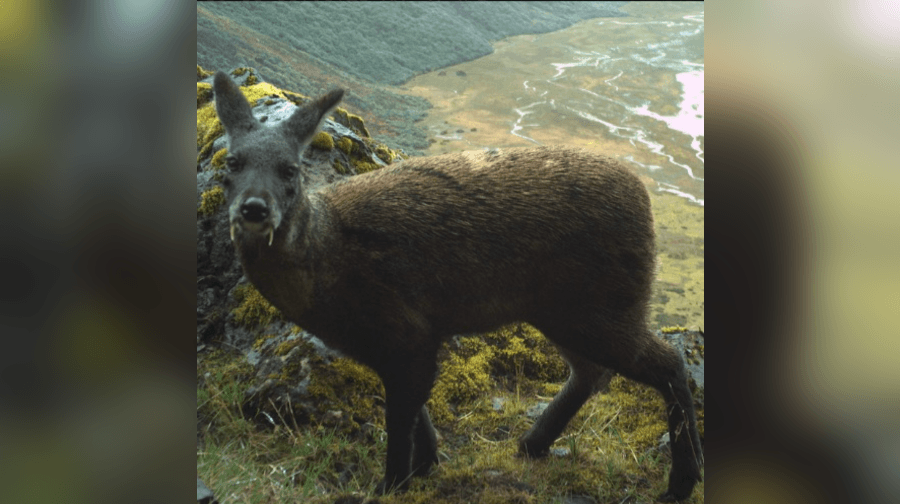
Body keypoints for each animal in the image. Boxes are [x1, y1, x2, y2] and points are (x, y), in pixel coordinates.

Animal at [212, 71, 703, 501]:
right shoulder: (392, 342)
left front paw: (391, 484)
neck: (325, 264)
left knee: (668, 363)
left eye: (289, 169)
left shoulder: (404, 326)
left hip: (602, 305)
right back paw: (533, 443)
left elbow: (400, 418)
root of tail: (646, 202)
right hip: (566, 311)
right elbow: (419, 416)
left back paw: (681, 482)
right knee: (591, 372)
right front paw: (426, 466)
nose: (254, 209)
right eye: (230, 162)